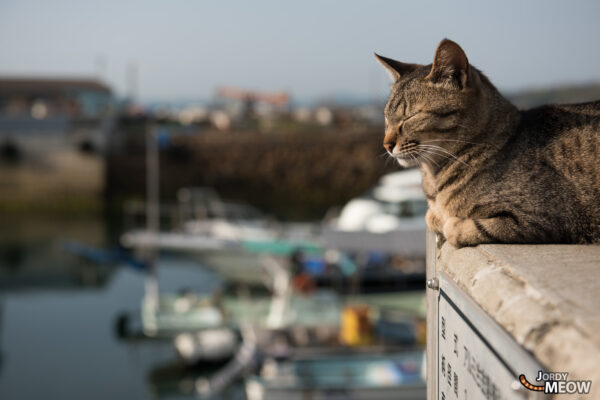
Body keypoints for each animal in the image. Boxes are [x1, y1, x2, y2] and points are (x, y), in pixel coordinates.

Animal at [376, 39, 600, 247]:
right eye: (386, 118)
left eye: (410, 116)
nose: (386, 144)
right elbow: (431, 217)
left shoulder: (545, 218)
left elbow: (458, 226)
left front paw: (449, 222)